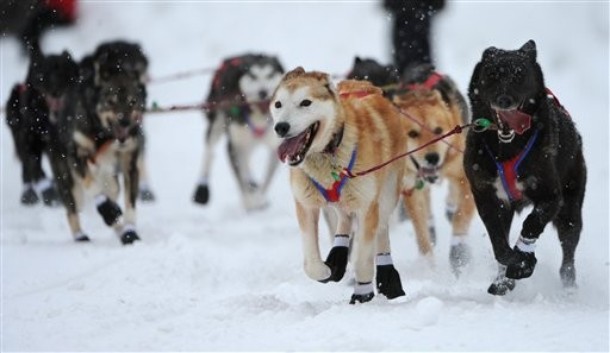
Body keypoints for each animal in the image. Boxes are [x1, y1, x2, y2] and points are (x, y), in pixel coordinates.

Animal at [270, 67, 408, 304]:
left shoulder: (367, 207)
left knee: (381, 229)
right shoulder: (306, 205)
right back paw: (337, 257)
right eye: (278, 104)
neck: (328, 152)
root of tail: (368, 86)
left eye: (305, 102)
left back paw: (387, 276)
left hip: (386, 195)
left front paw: (363, 294)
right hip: (342, 201)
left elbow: (363, 259)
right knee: (344, 218)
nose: (281, 127)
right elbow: (311, 265)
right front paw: (326, 271)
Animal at [390, 87, 476, 272]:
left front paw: (459, 249)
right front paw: (427, 264)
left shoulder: (467, 175)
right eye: (413, 133)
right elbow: (420, 229)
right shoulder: (410, 187)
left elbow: (461, 215)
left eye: (438, 130)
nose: (432, 158)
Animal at [466, 40, 584, 294]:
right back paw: (503, 281)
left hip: (570, 209)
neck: (506, 148)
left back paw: (569, 287)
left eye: (519, 75)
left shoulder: (551, 196)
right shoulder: (486, 197)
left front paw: (523, 260)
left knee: (569, 250)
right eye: (492, 74)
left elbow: (532, 223)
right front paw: (513, 266)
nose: (504, 99)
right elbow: (499, 242)